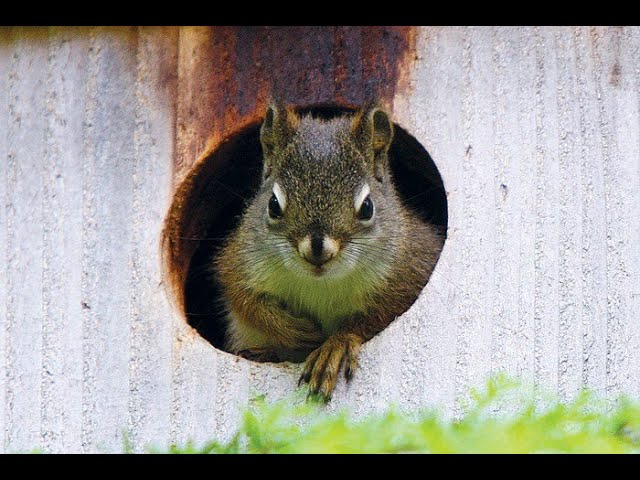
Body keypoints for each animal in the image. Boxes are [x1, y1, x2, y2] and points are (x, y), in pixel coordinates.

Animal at [212, 99, 442, 400]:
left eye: (367, 207)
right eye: (273, 205)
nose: (318, 250)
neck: (321, 284)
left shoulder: (408, 269)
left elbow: (378, 317)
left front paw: (336, 345)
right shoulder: (241, 260)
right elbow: (245, 299)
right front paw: (291, 330)